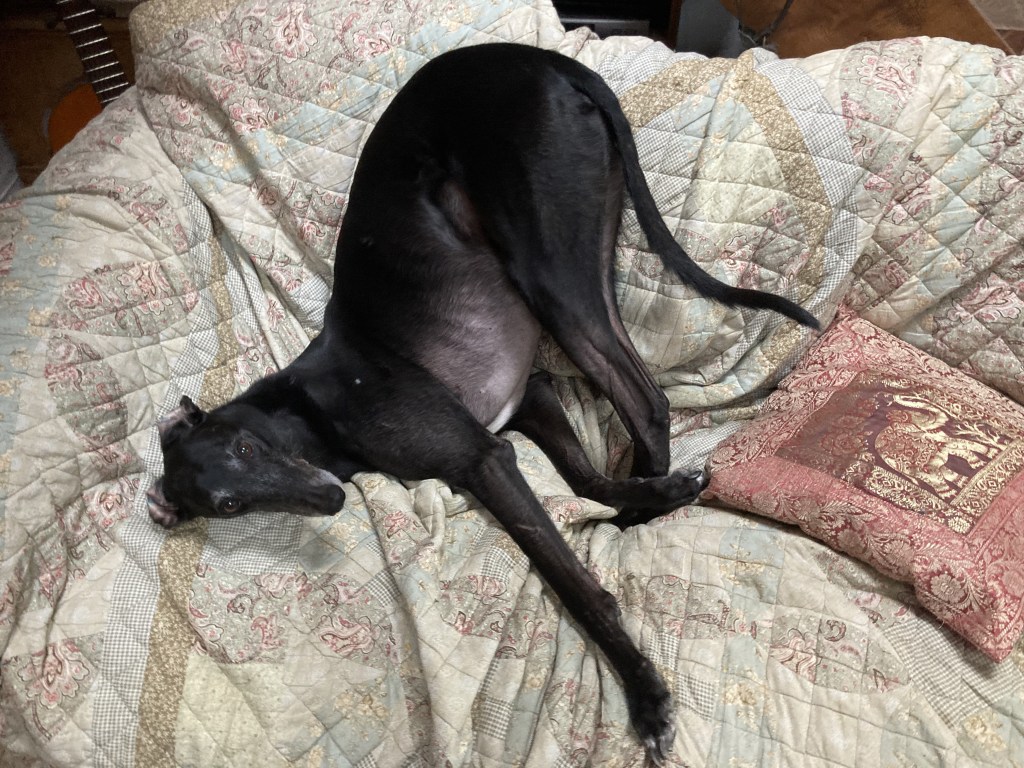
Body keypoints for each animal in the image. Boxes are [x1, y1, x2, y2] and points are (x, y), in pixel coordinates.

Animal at [148, 43, 818, 764]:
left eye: (246, 447)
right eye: (227, 507)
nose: (328, 501)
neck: (315, 409)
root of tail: (540, 57)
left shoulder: (480, 458)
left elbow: (574, 583)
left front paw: (645, 695)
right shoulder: (528, 402)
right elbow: (586, 481)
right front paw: (651, 496)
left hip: (553, 272)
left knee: (647, 402)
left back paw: (641, 523)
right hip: (585, 251)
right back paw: (647, 505)